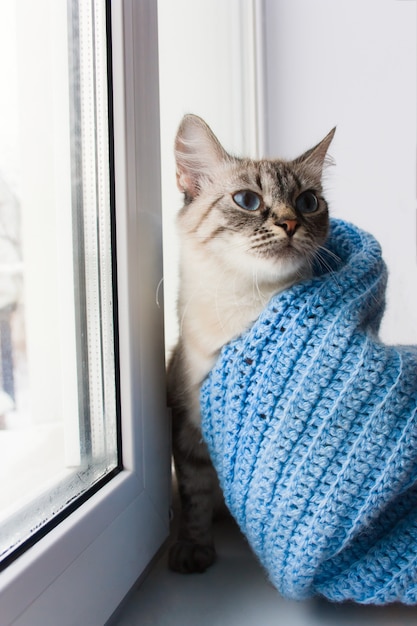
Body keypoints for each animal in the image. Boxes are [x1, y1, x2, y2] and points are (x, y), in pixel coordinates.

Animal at [167, 113, 334, 572]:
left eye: (308, 202)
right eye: (247, 200)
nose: (290, 223)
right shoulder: (189, 427)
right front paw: (194, 551)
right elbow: (195, 497)